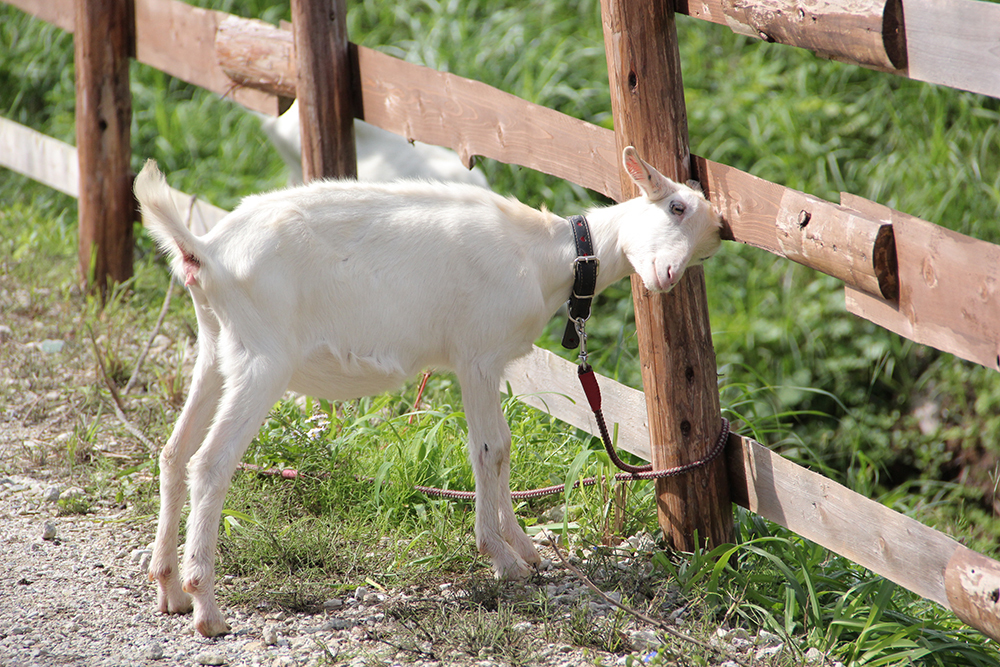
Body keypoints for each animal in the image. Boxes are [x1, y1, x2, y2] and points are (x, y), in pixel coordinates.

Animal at [137, 146, 724, 636]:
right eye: (675, 206)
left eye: (706, 249)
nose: (667, 275)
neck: (544, 255)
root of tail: (205, 252)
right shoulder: (477, 356)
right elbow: (489, 449)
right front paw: (502, 557)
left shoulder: (488, 363)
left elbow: (501, 448)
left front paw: (525, 550)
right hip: (264, 359)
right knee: (210, 463)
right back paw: (206, 608)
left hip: (217, 348)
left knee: (173, 453)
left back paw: (168, 588)